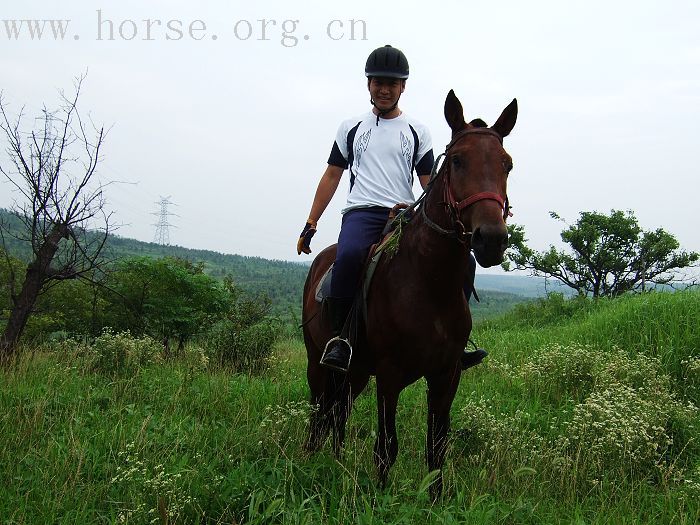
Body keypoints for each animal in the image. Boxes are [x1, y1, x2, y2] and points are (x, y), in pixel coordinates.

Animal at [304, 90, 516, 496]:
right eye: (458, 161)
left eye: (507, 164)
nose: (491, 240)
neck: (428, 283)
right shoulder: (390, 374)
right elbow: (387, 446)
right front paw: (380, 498)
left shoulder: (447, 375)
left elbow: (437, 447)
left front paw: (434, 499)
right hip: (319, 366)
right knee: (319, 415)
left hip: (356, 373)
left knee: (338, 416)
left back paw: (335, 465)